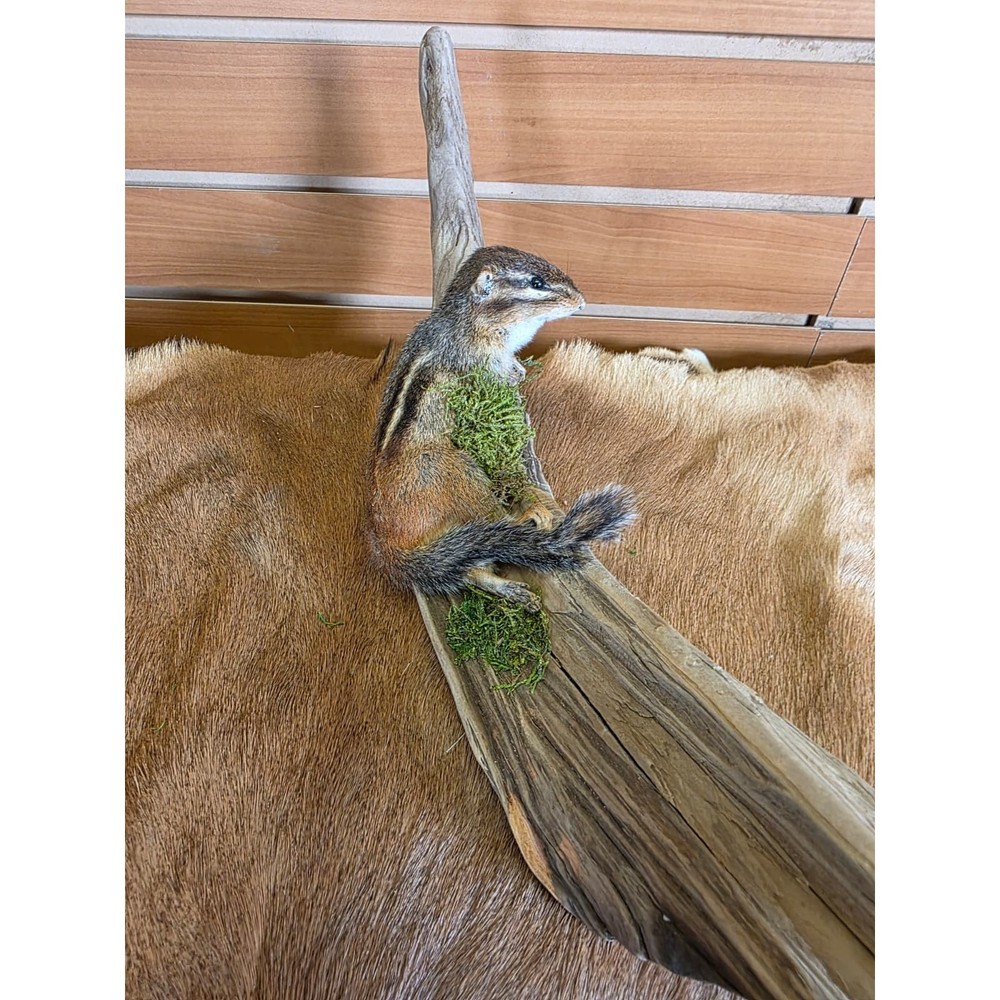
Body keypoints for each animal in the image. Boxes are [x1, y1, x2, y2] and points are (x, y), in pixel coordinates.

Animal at [368, 245, 637, 612]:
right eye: (536, 282)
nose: (581, 302)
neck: (468, 319)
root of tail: (391, 547)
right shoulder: (481, 367)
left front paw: (519, 369)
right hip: (455, 470)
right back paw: (528, 519)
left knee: (471, 571)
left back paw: (512, 590)